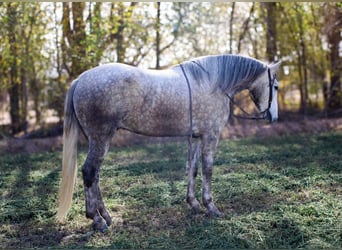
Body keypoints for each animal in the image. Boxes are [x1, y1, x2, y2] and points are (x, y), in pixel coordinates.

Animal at [56, 54, 280, 230]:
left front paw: (193, 204)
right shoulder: (210, 136)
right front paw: (211, 207)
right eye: (276, 86)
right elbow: (207, 170)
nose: (273, 117)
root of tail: (81, 79)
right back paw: (96, 219)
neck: (214, 84)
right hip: (101, 138)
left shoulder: (195, 137)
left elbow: (193, 169)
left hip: (97, 140)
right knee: (89, 172)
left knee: (95, 176)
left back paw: (106, 216)